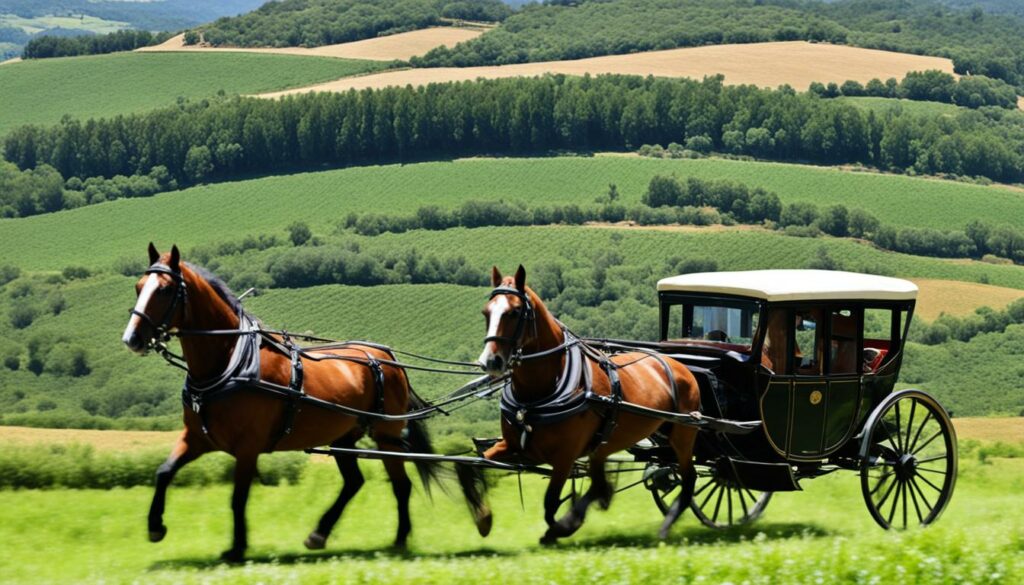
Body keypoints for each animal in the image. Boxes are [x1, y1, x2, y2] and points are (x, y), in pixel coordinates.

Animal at [121, 243, 489, 561]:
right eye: (138, 286)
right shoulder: (197, 437)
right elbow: (164, 472)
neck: (230, 361)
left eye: (164, 290)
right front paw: (155, 527)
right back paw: (319, 533)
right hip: (345, 438)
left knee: (401, 485)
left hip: (386, 436)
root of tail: (386, 356)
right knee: (354, 483)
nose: (132, 339)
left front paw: (237, 548)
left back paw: (399, 540)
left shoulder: (248, 447)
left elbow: (238, 497)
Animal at [479, 268, 704, 549]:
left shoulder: (564, 457)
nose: (490, 361)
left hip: (683, 435)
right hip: (605, 444)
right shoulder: (510, 445)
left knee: (689, 479)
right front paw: (483, 518)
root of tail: (679, 364)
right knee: (599, 484)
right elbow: (477, 466)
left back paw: (665, 526)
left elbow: (550, 504)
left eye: (514, 311)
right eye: (486, 312)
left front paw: (560, 529)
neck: (539, 394)